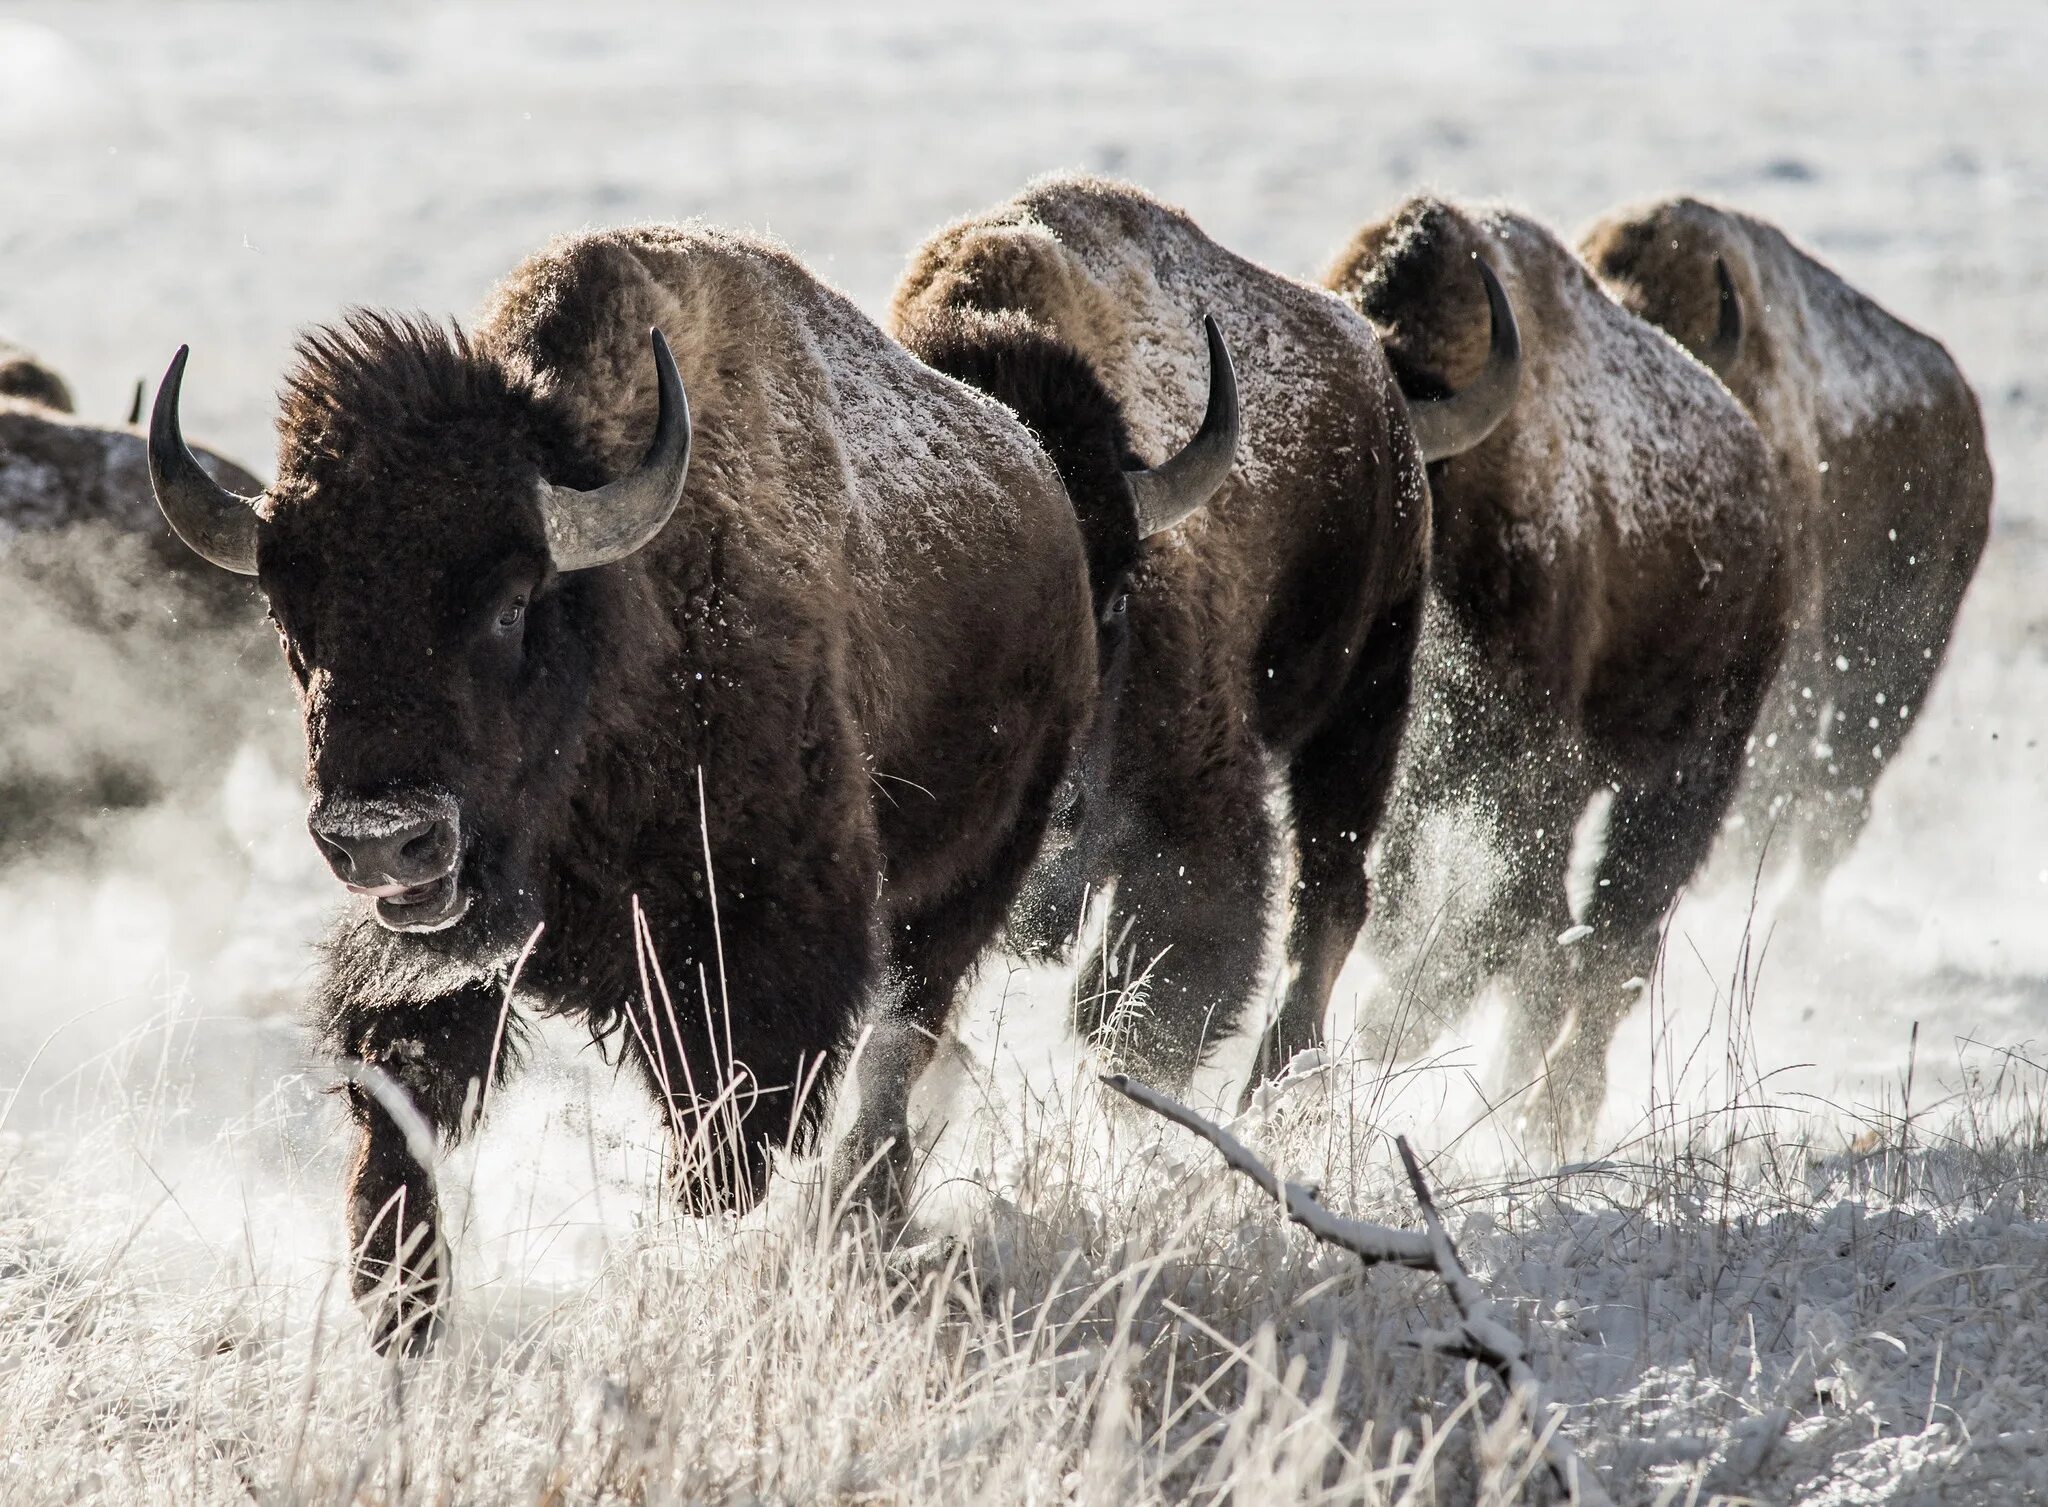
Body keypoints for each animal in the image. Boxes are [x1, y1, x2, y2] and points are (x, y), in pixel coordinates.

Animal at [155, 218, 1228, 1351]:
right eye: (291, 614)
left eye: (509, 604)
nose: (378, 836)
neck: (621, 622)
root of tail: (1036, 478)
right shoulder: (442, 954)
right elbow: (401, 1103)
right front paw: (401, 1312)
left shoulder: (759, 960)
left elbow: (731, 1140)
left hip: (965, 886)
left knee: (903, 1047)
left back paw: (868, 1214)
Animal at [1327, 197, 1794, 1138]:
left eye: (1392, 480)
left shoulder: (1535, 770)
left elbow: (1511, 918)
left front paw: (1387, 1025)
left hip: (1691, 772)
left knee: (1620, 932)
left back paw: (1554, 1108)